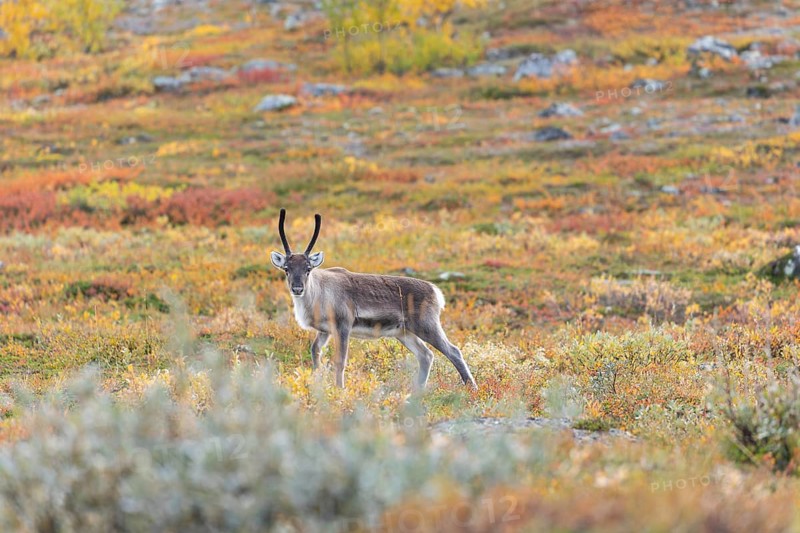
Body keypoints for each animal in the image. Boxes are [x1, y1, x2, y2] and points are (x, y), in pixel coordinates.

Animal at [270, 209, 477, 390]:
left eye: (308, 269)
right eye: (286, 269)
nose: (297, 288)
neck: (318, 293)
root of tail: (435, 291)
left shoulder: (343, 325)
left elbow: (340, 360)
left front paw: (339, 389)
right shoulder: (324, 330)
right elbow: (315, 352)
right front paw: (316, 382)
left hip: (426, 325)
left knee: (453, 351)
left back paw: (471, 388)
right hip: (404, 332)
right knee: (426, 355)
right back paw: (417, 392)